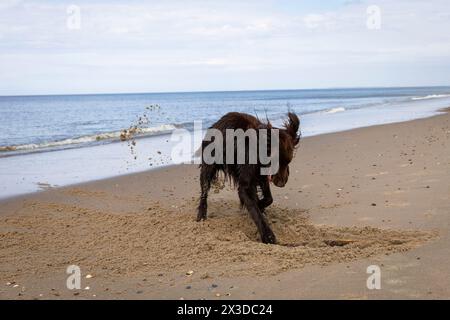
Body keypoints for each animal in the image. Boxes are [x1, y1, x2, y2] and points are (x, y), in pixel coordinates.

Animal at [196, 111, 298, 244]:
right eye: (275, 162)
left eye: (288, 162)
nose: (281, 183)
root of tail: (216, 124)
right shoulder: (247, 181)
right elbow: (254, 208)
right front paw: (268, 235)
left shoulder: (261, 175)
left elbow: (268, 198)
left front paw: (260, 205)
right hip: (209, 166)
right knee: (204, 189)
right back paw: (201, 215)